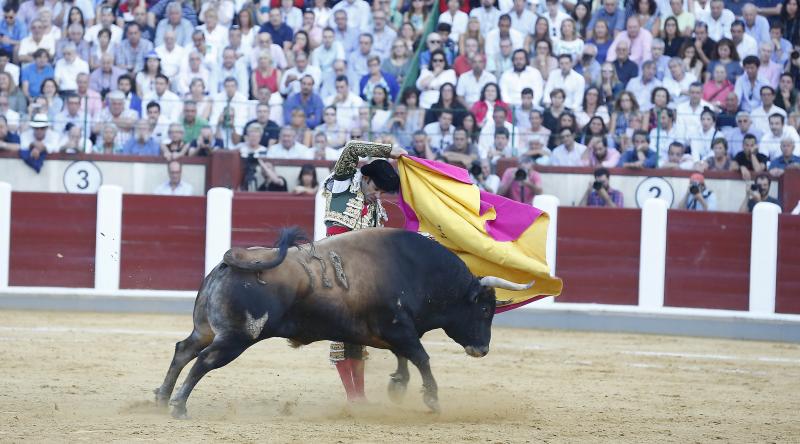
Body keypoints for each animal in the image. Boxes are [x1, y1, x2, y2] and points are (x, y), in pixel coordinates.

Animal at [155, 227, 532, 418]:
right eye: (484, 310)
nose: (482, 349)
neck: (419, 271)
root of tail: (231, 260)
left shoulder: (389, 331)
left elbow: (404, 358)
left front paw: (398, 386)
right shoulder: (399, 327)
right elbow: (421, 357)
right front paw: (432, 399)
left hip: (206, 329)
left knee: (183, 350)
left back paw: (161, 397)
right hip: (236, 337)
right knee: (203, 361)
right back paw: (178, 406)